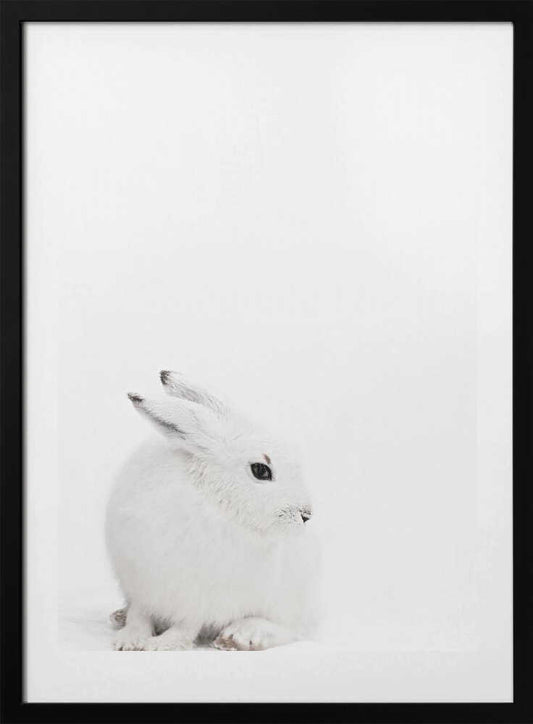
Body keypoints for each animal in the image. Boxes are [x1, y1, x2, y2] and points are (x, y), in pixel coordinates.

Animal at [105, 371, 321, 651]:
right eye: (261, 470)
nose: (305, 514)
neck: (212, 500)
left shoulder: (202, 600)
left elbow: (187, 626)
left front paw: (161, 645)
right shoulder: (142, 585)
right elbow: (140, 615)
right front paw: (129, 640)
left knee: (290, 629)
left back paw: (240, 636)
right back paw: (119, 616)